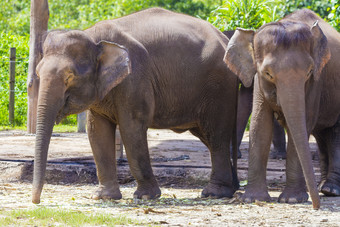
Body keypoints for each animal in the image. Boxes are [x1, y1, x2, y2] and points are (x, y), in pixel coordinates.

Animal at [31, 7, 239, 204]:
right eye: (38, 73)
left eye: (69, 77)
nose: (36, 201)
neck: (94, 37)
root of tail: (223, 37)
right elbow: (97, 132)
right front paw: (103, 197)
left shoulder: (136, 78)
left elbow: (131, 127)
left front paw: (145, 196)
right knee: (209, 137)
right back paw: (231, 189)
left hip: (219, 88)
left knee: (216, 136)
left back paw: (214, 193)